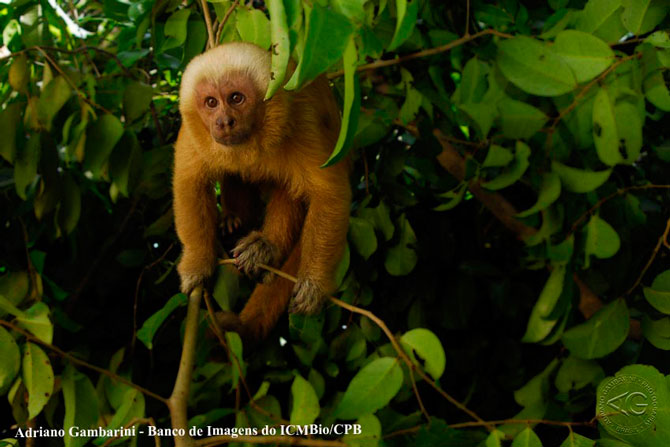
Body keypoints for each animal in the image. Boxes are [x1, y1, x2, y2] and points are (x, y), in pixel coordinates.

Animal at [172, 43, 352, 344]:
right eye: (211, 102)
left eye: (236, 98)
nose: (224, 122)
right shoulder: (193, 130)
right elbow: (189, 183)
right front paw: (197, 262)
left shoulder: (301, 120)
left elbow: (329, 195)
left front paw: (314, 284)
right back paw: (234, 219)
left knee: (290, 188)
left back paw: (266, 249)